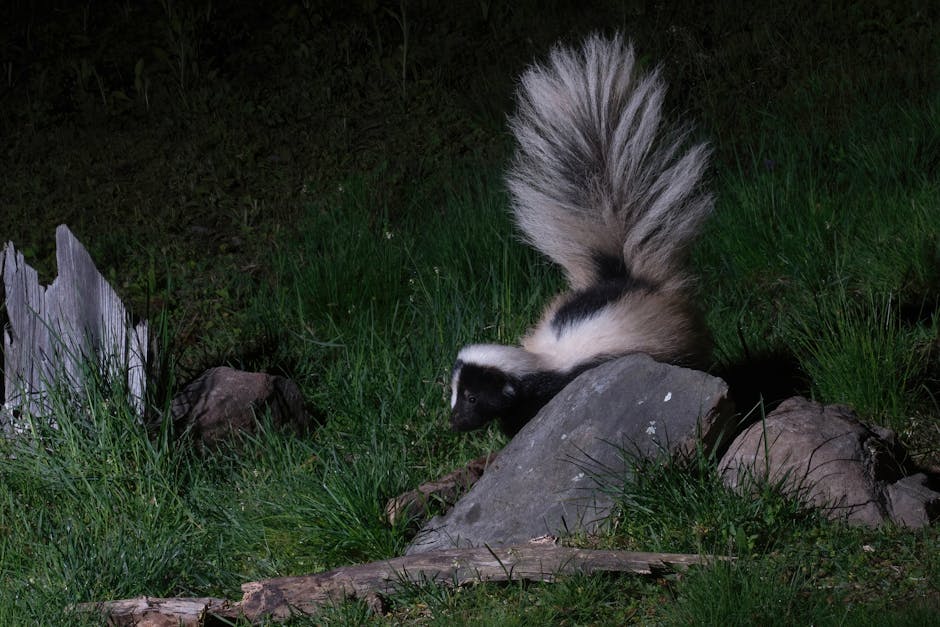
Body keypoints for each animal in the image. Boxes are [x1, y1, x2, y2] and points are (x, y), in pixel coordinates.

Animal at [448, 34, 712, 436]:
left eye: (473, 398)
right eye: (454, 394)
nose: (453, 422)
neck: (541, 361)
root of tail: (628, 278)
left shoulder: (567, 380)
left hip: (677, 345)